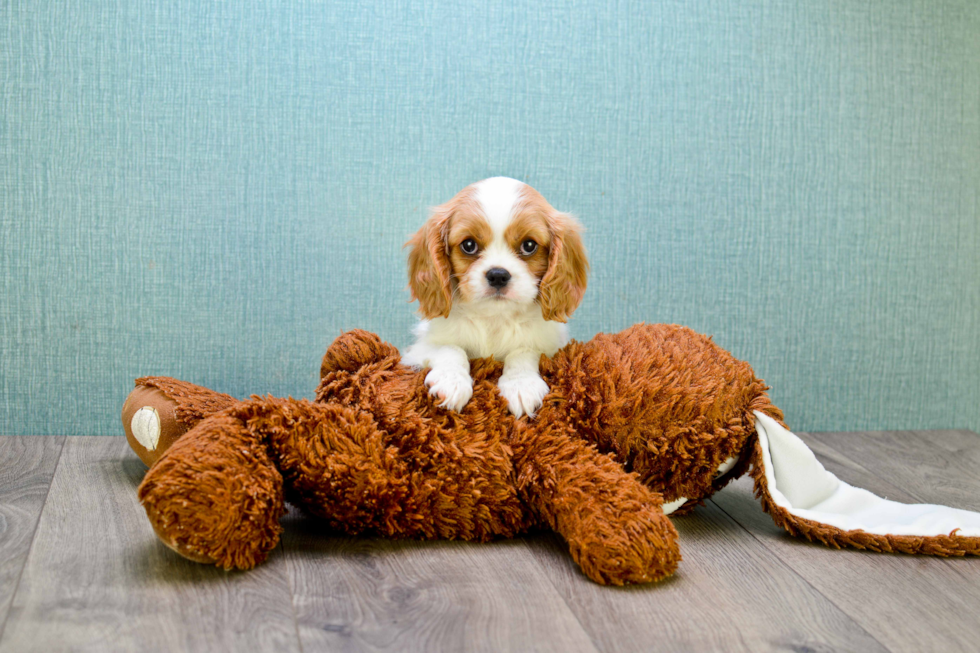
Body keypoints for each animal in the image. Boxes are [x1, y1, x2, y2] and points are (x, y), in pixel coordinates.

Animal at [400, 176, 584, 416]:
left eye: (529, 245)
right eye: (469, 245)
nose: (498, 275)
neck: (494, 317)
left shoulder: (550, 347)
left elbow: (523, 351)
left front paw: (521, 384)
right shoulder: (418, 348)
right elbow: (451, 348)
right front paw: (451, 381)